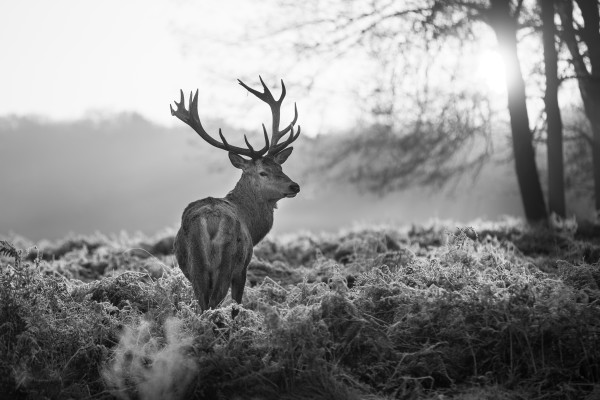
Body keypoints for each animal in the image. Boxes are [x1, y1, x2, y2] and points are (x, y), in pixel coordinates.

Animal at [169, 77, 300, 316]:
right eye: (263, 172)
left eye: (280, 167)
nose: (294, 186)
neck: (252, 225)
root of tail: (210, 220)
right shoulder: (243, 267)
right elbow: (237, 302)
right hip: (228, 261)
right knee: (214, 302)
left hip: (195, 267)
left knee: (203, 303)